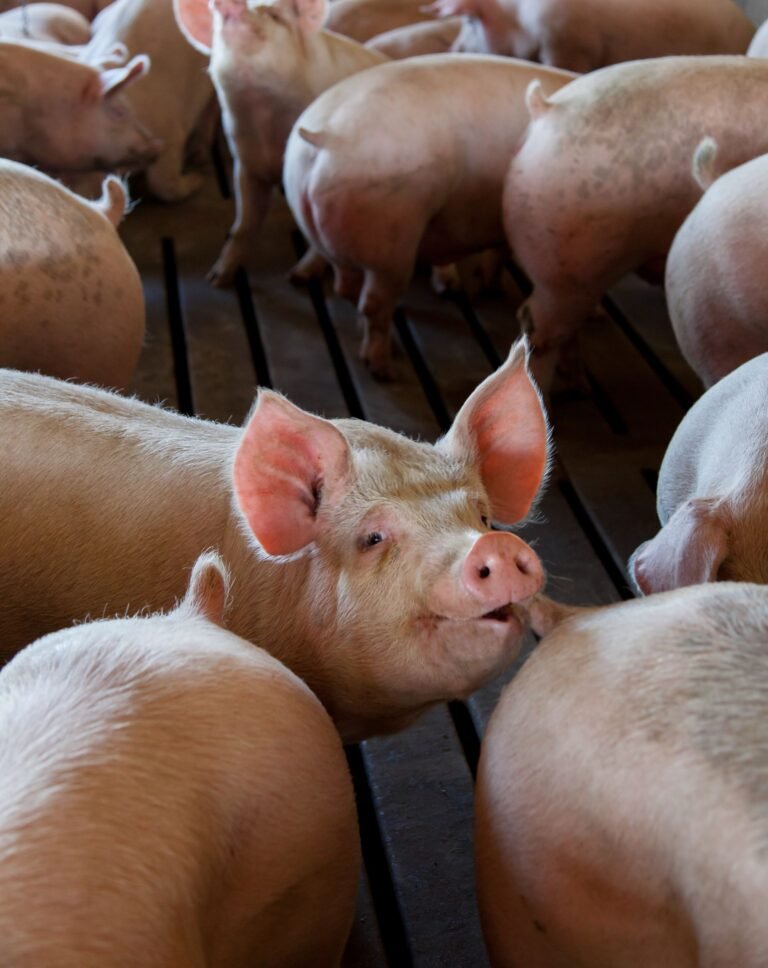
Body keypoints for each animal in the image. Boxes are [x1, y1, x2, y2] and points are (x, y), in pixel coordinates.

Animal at [174, 0, 388, 286]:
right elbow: (244, 223)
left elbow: (319, 235)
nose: (229, 5)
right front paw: (217, 279)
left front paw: (298, 277)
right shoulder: (247, 163)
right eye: (219, 20)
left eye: (274, 15)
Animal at [283, 53, 576, 378]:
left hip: (331, 231)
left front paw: (491, 286)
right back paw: (385, 369)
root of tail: (326, 137)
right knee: (373, 303)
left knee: (345, 287)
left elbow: (498, 252)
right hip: (391, 243)